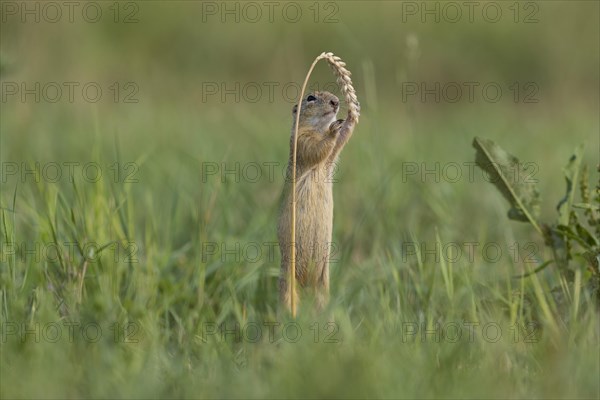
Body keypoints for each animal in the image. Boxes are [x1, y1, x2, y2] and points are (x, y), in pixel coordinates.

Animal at [276, 90, 356, 316]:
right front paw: (334, 128)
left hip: (323, 285)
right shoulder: (301, 140)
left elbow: (336, 147)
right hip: (287, 283)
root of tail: (305, 283)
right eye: (310, 97)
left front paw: (350, 116)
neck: (319, 128)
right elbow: (317, 148)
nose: (336, 101)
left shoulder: (329, 161)